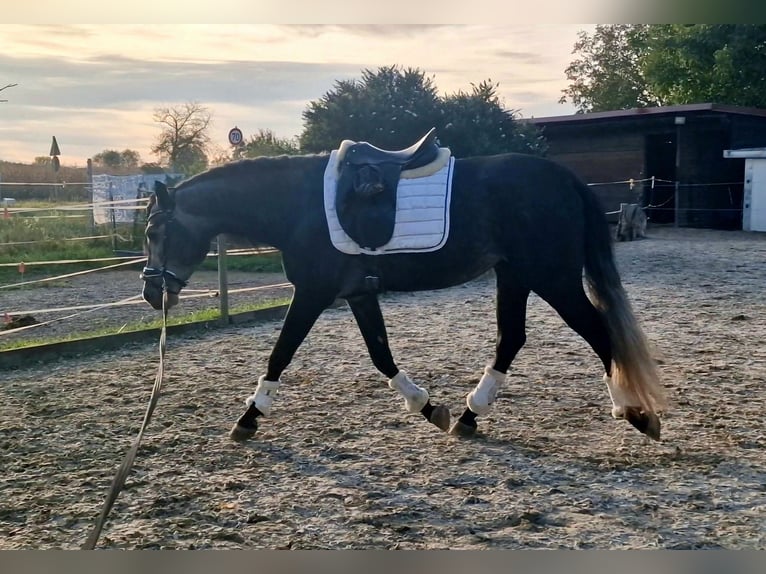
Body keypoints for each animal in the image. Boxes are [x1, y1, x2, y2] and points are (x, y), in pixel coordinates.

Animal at [141, 146, 668, 444]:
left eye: (152, 231)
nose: (150, 291)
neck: (297, 206)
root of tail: (564, 178)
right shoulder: (357, 294)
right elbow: (381, 354)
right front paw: (428, 407)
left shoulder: (312, 294)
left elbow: (279, 355)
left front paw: (249, 418)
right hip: (516, 275)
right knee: (512, 340)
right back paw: (470, 417)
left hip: (551, 277)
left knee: (598, 333)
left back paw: (634, 412)